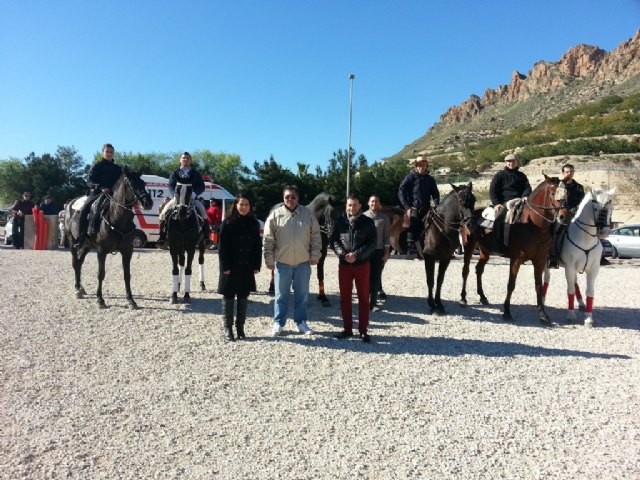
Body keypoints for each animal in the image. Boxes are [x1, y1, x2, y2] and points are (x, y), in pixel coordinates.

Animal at [65, 167, 153, 309]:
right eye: (131, 184)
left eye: (143, 183)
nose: (147, 202)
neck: (116, 218)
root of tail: (69, 204)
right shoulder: (101, 251)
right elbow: (101, 274)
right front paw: (100, 300)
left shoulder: (127, 251)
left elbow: (127, 275)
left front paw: (131, 300)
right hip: (72, 241)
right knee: (75, 262)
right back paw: (77, 289)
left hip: (87, 246)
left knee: (79, 262)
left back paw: (81, 289)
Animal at [421, 183, 476, 314]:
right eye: (460, 201)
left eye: (474, 200)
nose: (470, 224)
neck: (442, 227)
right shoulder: (429, 257)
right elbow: (430, 280)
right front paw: (432, 305)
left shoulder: (445, 258)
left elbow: (440, 280)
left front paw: (439, 304)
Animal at [459, 174, 562, 324]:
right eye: (552, 193)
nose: (563, 215)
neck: (533, 226)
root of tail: (470, 216)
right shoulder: (516, 259)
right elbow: (511, 284)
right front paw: (507, 312)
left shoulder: (540, 261)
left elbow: (539, 286)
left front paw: (543, 314)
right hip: (468, 247)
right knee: (465, 271)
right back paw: (463, 298)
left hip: (485, 251)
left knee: (479, 270)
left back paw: (483, 297)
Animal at [542, 188, 615, 327]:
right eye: (596, 208)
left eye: (611, 207)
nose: (603, 232)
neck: (586, 238)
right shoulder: (570, 267)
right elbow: (570, 289)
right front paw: (571, 315)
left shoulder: (593, 269)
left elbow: (590, 292)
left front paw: (588, 318)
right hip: (547, 264)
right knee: (546, 279)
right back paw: (542, 299)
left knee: (575, 281)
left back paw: (581, 303)